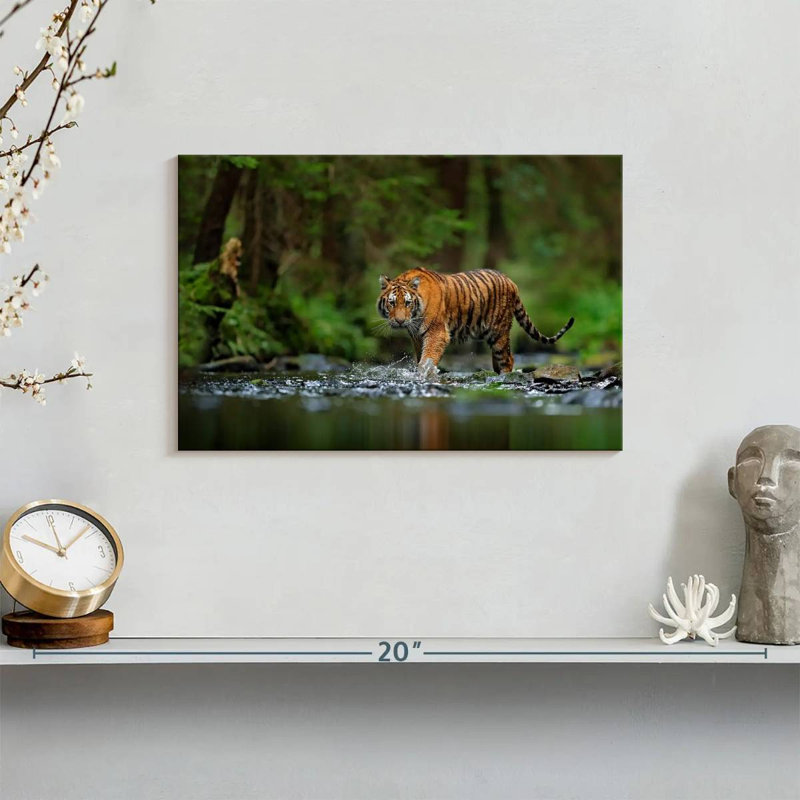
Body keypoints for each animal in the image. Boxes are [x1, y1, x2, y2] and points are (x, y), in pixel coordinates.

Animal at [377, 266, 574, 376]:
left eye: (407, 303)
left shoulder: (437, 333)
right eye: (392, 303)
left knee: (508, 359)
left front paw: (424, 373)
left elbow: (428, 358)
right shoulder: (417, 336)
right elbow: (420, 357)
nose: (400, 321)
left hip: (499, 333)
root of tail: (511, 281)